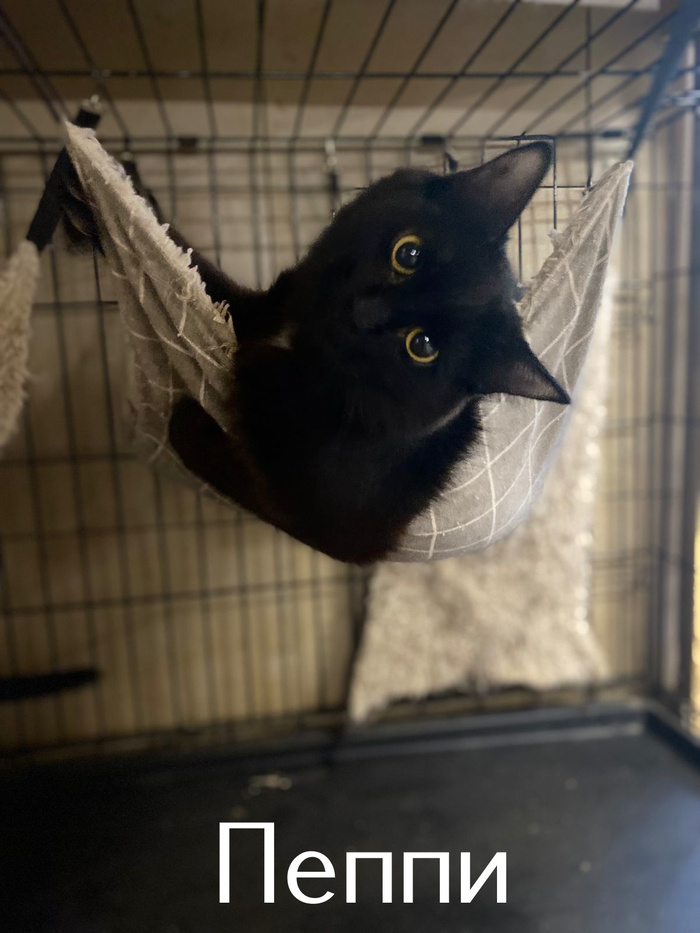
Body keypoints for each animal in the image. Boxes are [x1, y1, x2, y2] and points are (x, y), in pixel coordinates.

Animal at [61, 142, 568, 564]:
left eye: (422, 346)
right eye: (408, 254)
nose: (365, 312)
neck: (304, 354)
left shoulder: (331, 525)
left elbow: (227, 470)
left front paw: (189, 422)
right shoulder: (264, 307)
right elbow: (199, 274)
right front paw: (104, 195)